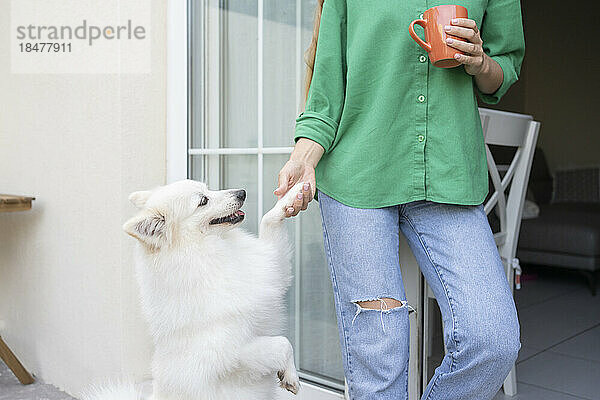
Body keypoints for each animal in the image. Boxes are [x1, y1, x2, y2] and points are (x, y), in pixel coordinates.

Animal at [86, 180, 302, 400]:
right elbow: (283, 343)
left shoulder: (271, 267)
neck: (207, 253)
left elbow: (269, 220)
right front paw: (291, 377)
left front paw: (295, 193)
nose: (242, 193)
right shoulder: (230, 353)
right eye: (203, 201)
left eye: (207, 189)